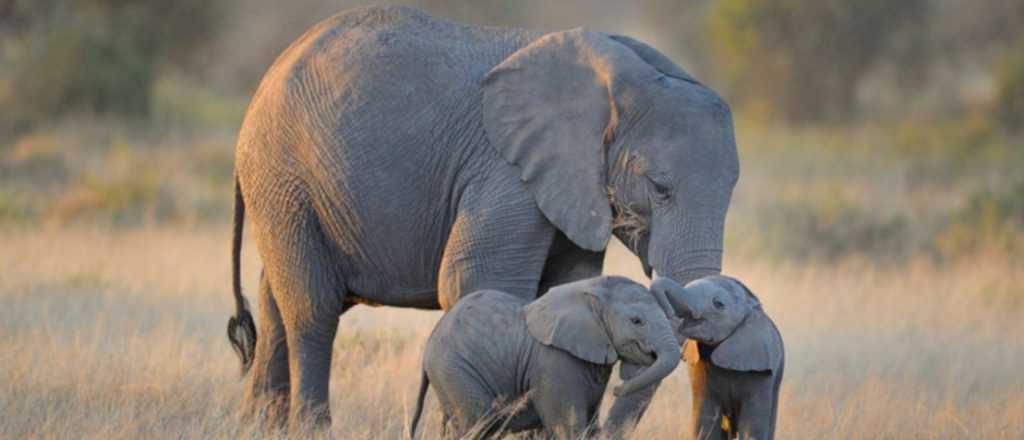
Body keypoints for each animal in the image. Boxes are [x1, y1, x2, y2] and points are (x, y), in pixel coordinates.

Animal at [407, 276, 679, 437]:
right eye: (637, 321)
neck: (590, 289)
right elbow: (568, 426)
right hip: (454, 370)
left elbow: (590, 426)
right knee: (478, 424)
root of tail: (429, 344)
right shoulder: (554, 362)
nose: (617, 390)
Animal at [651, 274, 786, 440]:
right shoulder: (699, 367)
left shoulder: (761, 372)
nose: (669, 313)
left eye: (718, 304)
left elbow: (751, 427)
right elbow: (704, 420)